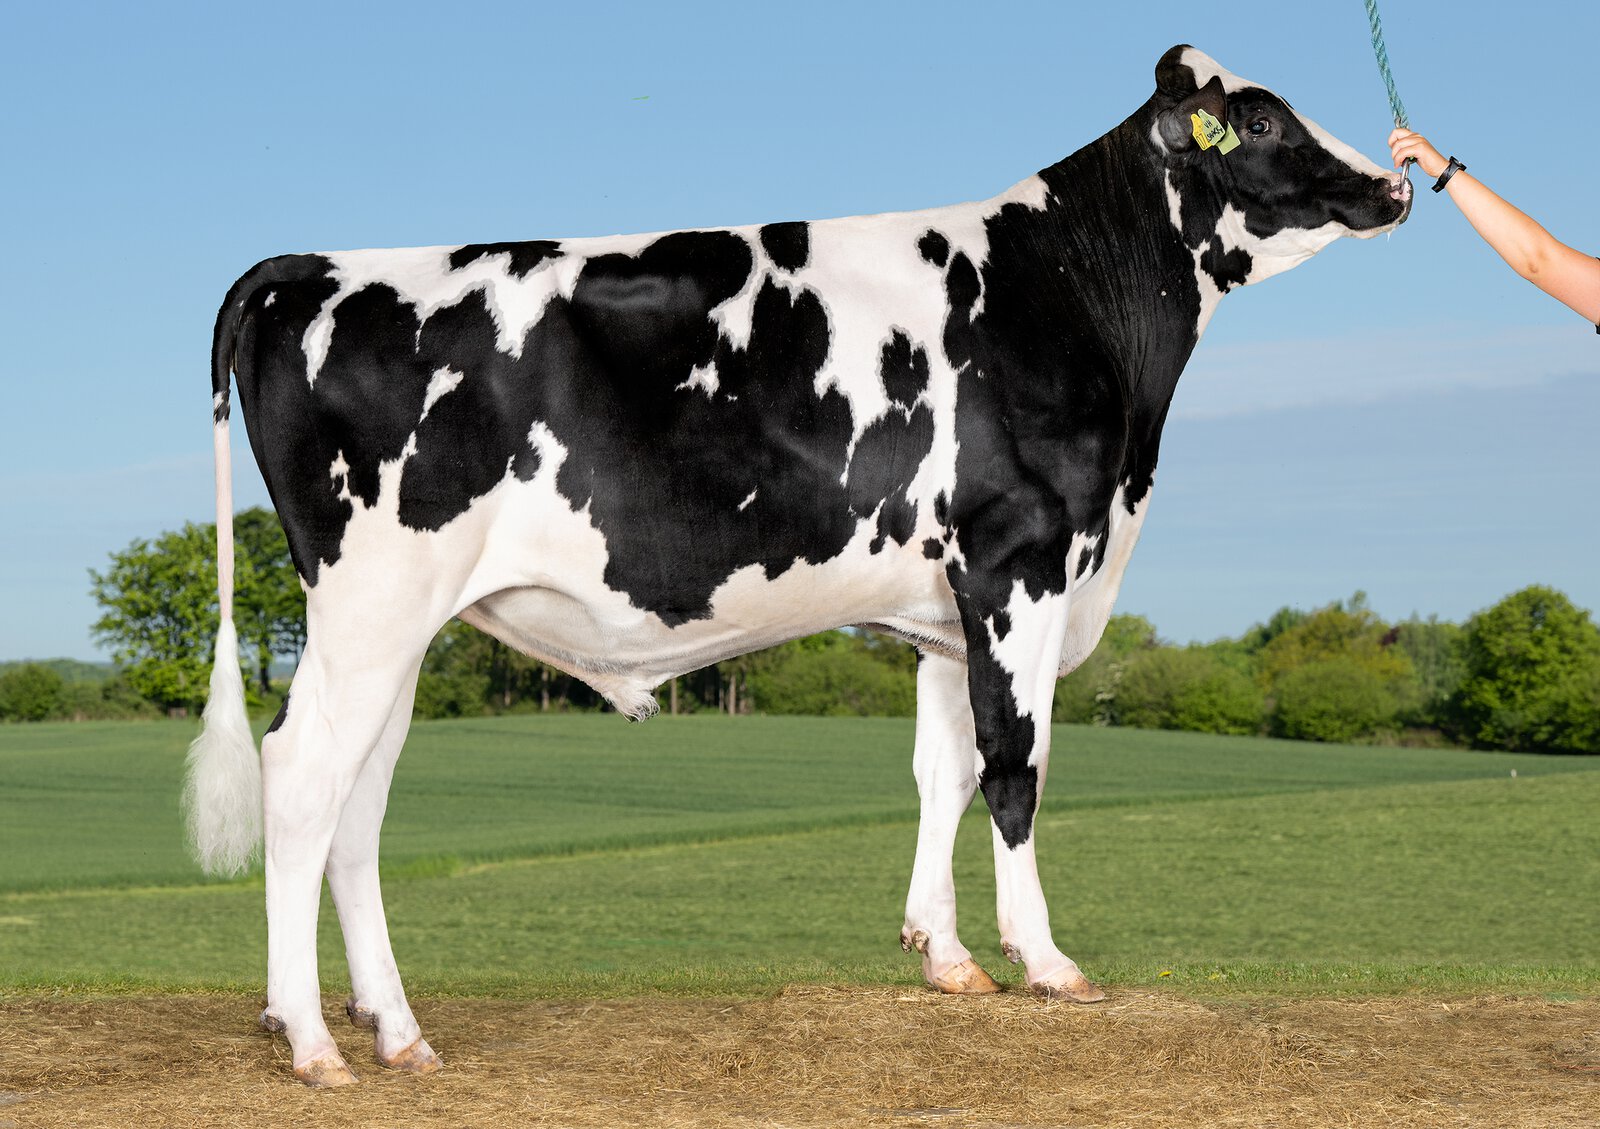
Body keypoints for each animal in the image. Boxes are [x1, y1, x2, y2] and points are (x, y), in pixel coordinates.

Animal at [187, 45, 1412, 1085]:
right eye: (1262, 118)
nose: (1397, 183)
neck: (1065, 289)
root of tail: (310, 268)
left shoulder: (944, 606)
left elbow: (942, 770)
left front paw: (945, 955)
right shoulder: (1020, 562)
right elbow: (1015, 766)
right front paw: (1047, 962)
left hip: (398, 625)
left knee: (357, 803)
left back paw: (396, 1031)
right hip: (372, 599)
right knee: (303, 775)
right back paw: (311, 1042)